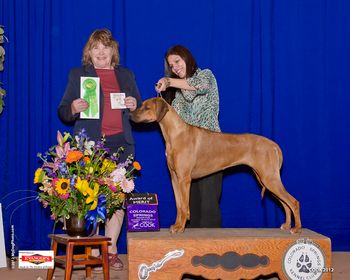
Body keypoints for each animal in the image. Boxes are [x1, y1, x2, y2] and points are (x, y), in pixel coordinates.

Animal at [131, 97, 300, 233]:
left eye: (146, 107)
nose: (130, 115)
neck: (174, 134)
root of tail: (274, 145)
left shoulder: (184, 179)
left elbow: (184, 206)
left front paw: (180, 228)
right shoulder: (174, 178)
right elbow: (179, 205)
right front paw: (177, 225)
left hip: (269, 178)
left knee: (293, 202)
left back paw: (297, 229)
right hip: (265, 179)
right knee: (285, 203)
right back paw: (286, 225)